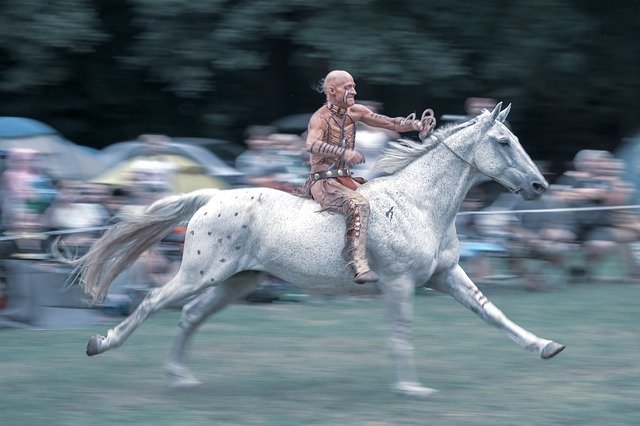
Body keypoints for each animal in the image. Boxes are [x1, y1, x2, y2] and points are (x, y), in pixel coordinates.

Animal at [76, 103, 564, 400]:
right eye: (503, 141)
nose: (540, 185)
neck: (420, 204)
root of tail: (211, 197)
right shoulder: (400, 283)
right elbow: (401, 330)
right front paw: (411, 389)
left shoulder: (445, 276)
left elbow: (491, 311)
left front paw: (546, 346)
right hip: (201, 274)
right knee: (153, 301)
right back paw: (101, 344)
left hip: (236, 283)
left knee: (190, 315)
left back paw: (182, 377)